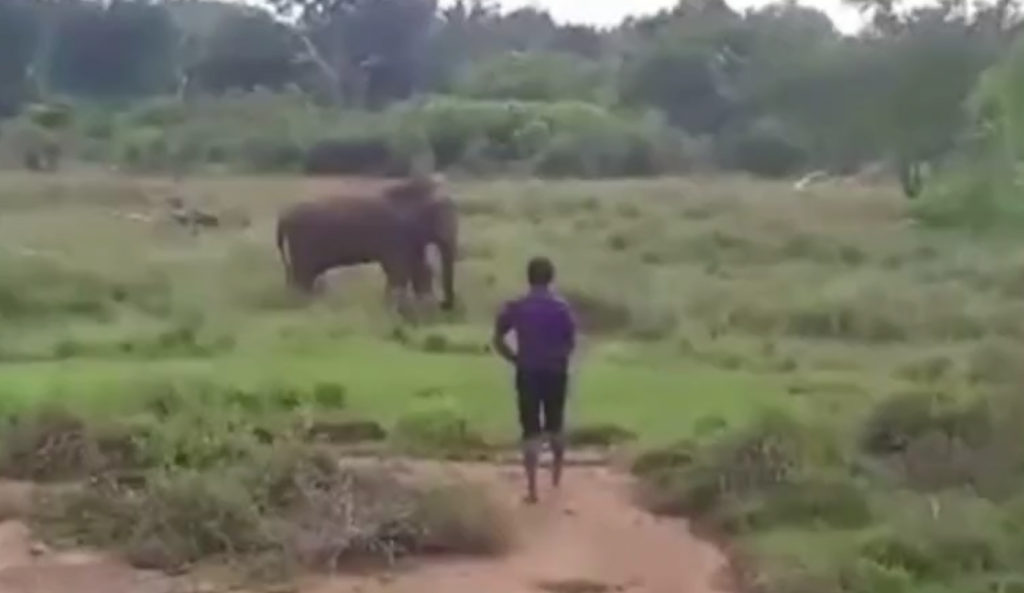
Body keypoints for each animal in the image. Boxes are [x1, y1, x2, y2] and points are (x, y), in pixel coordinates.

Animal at [275, 174, 458, 314]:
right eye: (441, 216)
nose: (444, 305)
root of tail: (283, 217)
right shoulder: (396, 237)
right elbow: (399, 271)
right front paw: (392, 310)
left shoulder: (410, 238)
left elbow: (420, 269)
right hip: (302, 245)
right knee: (302, 277)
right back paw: (301, 306)